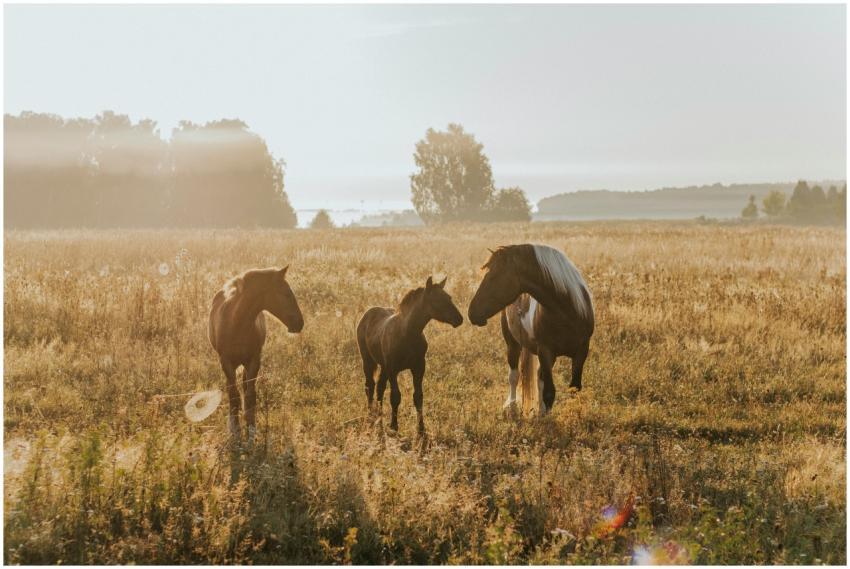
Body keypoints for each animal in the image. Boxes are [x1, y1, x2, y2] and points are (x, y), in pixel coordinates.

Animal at [208, 266, 304, 441]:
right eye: (286, 294)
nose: (299, 323)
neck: (237, 323)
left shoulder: (253, 361)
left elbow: (250, 395)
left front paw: (251, 430)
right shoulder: (226, 363)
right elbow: (234, 396)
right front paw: (236, 431)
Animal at [356, 276, 463, 434]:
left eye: (449, 297)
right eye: (437, 300)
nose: (459, 319)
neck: (407, 333)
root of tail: (367, 313)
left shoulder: (418, 367)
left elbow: (418, 396)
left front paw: (421, 429)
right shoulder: (393, 369)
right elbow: (395, 396)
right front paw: (394, 426)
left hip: (383, 366)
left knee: (380, 387)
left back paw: (379, 417)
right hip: (368, 361)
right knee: (370, 386)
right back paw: (371, 416)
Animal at [468, 244, 594, 415]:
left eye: (493, 276)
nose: (471, 312)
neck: (567, 312)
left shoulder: (581, 351)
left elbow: (574, 388)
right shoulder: (545, 351)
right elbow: (549, 392)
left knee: (539, 378)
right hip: (513, 344)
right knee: (514, 376)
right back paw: (512, 405)